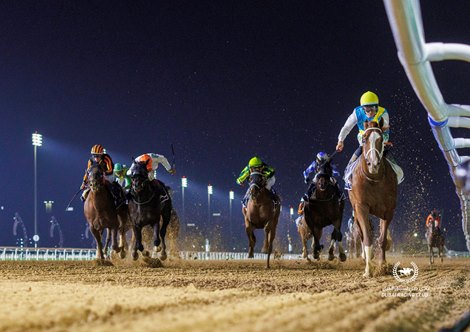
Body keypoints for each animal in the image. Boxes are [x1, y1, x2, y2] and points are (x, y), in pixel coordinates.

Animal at [348, 121, 396, 278]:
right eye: (364, 139)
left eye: (380, 139)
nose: (373, 164)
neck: (373, 180)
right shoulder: (361, 207)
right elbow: (367, 238)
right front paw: (368, 270)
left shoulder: (388, 210)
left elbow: (382, 239)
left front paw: (383, 265)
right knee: (362, 235)